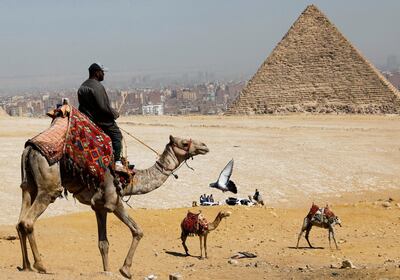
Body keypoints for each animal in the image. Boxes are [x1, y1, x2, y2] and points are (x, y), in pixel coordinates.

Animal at [15, 134, 209, 278]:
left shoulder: (99, 207)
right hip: (49, 186)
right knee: (29, 221)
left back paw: (26, 265)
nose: (204, 146)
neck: (131, 179)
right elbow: (138, 231)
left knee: (20, 222)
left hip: (28, 185)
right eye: (184, 143)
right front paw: (125, 270)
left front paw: (107, 271)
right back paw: (41, 265)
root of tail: (29, 149)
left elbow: (103, 243)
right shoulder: (114, 202)